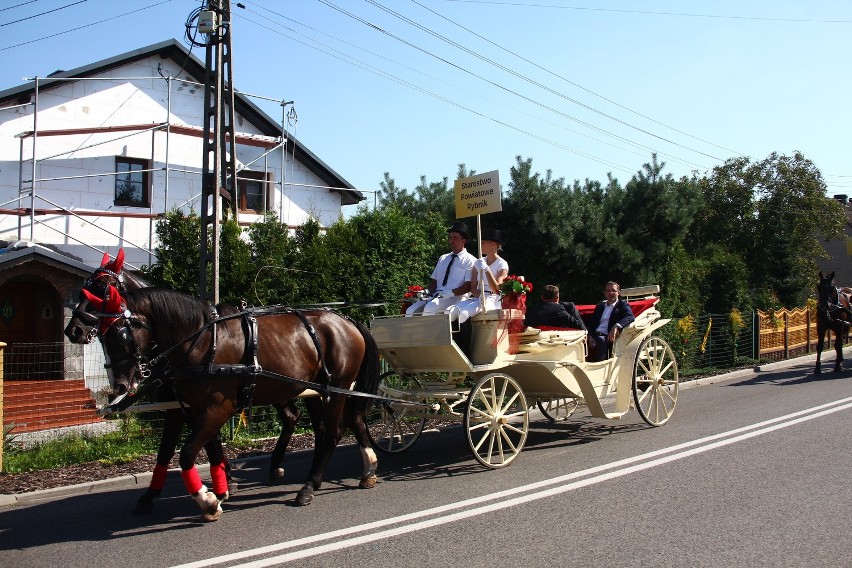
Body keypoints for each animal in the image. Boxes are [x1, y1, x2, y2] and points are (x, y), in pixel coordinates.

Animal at [80, 278, 380, 520]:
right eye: (102, 335)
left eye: (120, 333)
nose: (119, 384)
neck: (201, 341)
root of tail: (347, 321)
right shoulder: (192, 409)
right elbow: (197, 450)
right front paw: (220, 490)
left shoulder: (215, 408)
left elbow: (187, 453)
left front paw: (208, 500)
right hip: (318, 390)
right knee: (342, 423)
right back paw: (367, 468)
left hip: (336, 389)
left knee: (333, 432)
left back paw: (310, 486)